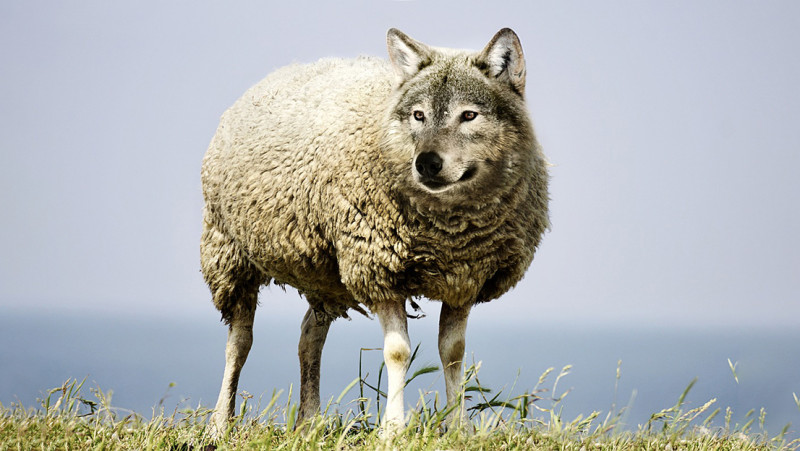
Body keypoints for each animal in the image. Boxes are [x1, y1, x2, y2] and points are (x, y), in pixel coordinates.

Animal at [200, 27, 549, 435]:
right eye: (418, 115)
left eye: (469, 115)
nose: (427, 163)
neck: (448, 231)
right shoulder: (378, 269)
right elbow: (397, 352)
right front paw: (394, 429)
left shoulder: (465, 277)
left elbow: (453, 353)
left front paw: (459, 426)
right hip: (228, 252)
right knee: (239, 342)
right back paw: (220, 423)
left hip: (326, 275)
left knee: (309, 336)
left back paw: (309, 421)